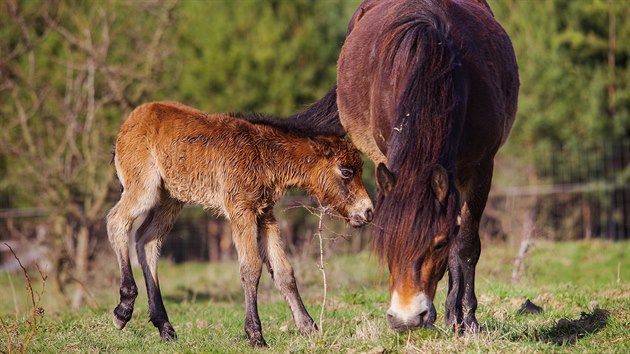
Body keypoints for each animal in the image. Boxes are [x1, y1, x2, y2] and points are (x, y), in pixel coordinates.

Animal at [292, 0, 520, 332]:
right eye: (387, 240)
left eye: (438, 244)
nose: (407, 319)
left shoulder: (480, 168)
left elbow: (465, 245)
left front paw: (466, 319)